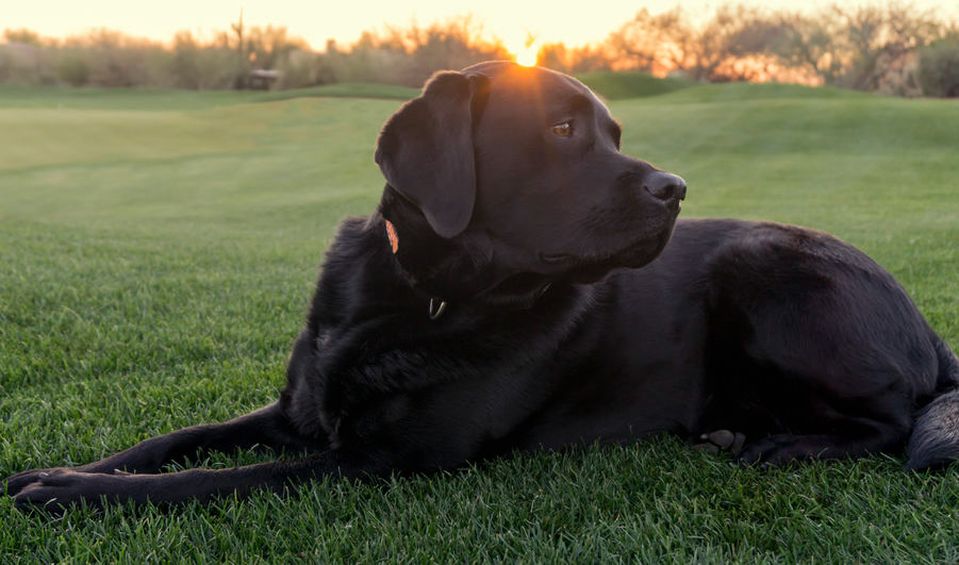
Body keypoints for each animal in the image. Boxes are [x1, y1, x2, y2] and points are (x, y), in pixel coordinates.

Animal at [7, 61, 959, 506]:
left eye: (614, 133)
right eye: (566, 129)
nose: (677, 189)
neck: (415, 290)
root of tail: (927, 327)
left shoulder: (377, 460)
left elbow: (210, 478)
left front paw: (72, 494)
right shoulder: (297, 409)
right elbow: (176, 439)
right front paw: (64, 468)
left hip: (761, 268)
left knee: (889, 419)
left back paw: (783, 445)